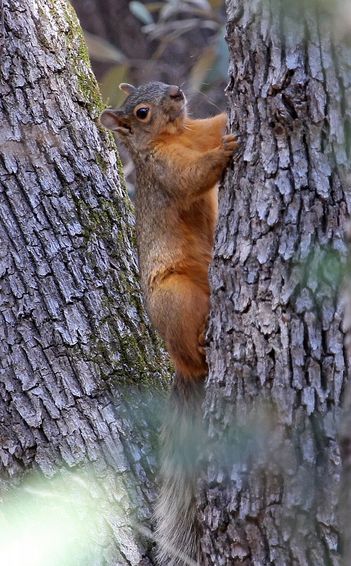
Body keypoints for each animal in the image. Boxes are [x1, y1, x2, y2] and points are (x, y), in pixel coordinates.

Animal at [99, 83, 239, 566]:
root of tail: (183, 368)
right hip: (176, 299)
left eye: (162, 88)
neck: (178, 134)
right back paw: (200, 344)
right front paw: (223, 154)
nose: (178, 92)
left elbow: (218, 123)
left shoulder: (200, 127)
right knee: (192, 345)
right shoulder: (163, 173)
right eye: (141, 112)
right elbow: (189, 178)